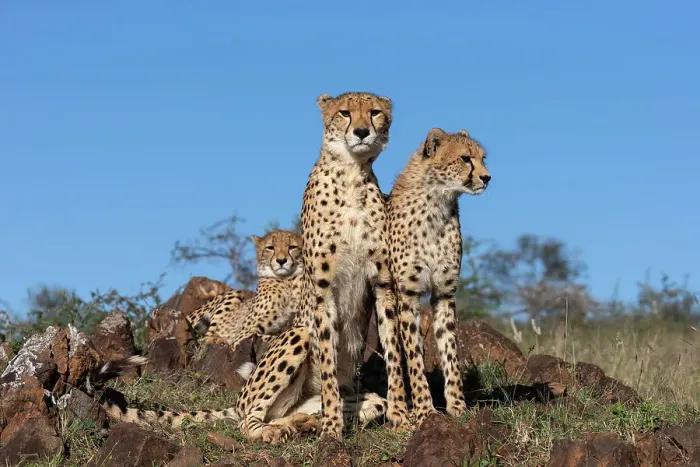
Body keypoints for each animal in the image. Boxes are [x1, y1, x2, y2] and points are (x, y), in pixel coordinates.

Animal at [97, 92, 408, 445]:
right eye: (344, 113)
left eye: (375, 112)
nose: (361, 131)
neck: (352, 174)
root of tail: (238, 399)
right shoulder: (322, 290)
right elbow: (329, 367)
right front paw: (332, 429)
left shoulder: (383, 284)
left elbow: (394, 355)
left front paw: (403, 419)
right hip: (295, 337)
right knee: (248, 421)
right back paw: (287, 428)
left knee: (353, 404)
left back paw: (304, 422)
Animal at [386, 127, 491, 423]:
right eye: (465, 159)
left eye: (483, 158)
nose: (487, 177)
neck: (437, 202)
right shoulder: (407, 295)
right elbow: (413, 356)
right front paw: (425, 410)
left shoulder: (444, 293)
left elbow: (450, 351)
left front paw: (457, 406)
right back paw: (398, 411)